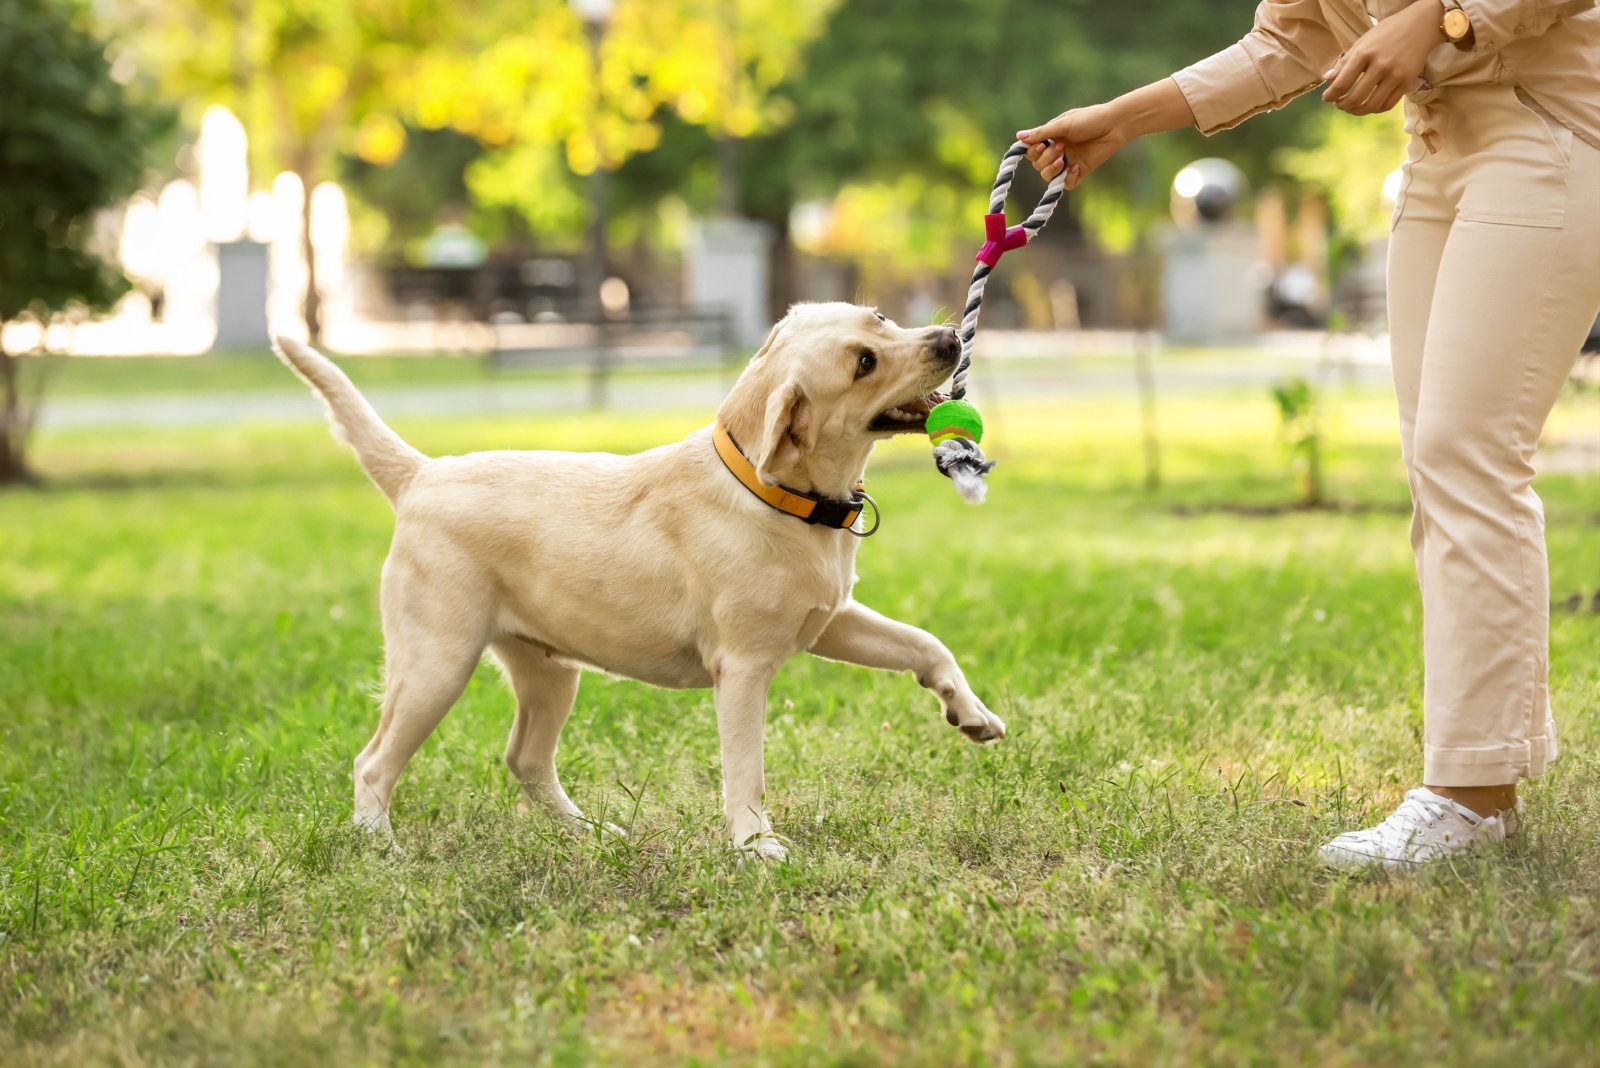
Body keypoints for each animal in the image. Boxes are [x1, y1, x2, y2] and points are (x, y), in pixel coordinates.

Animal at [273, 302, 998, 856]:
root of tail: (422, 474)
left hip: (548, 670)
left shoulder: (831, 621)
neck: (774, 492)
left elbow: (925, 643)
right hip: (436, 663)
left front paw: (971, 713)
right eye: (862, 364)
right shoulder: (743, 669)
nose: (949, 338)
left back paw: (591, 834)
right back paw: (379, 845)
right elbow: (746, 769)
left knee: (525, 759)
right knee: (374, 762)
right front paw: (756, 847)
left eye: (879, 318)